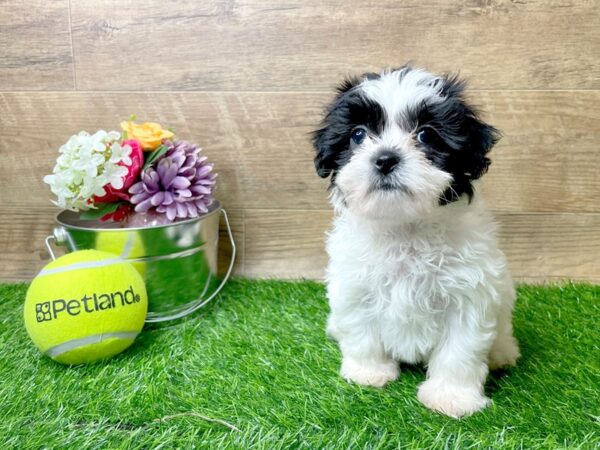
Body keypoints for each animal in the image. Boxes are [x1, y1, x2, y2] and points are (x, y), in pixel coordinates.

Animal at [314, 67, 520, 418]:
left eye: (425, 135)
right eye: (358, 135)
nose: (385, 159)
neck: (405, 228)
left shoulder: (468, 294)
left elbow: (459, 350)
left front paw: (451, 397)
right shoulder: (355, 285)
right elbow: (361, 332)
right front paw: (368, 372)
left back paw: (503, 353)